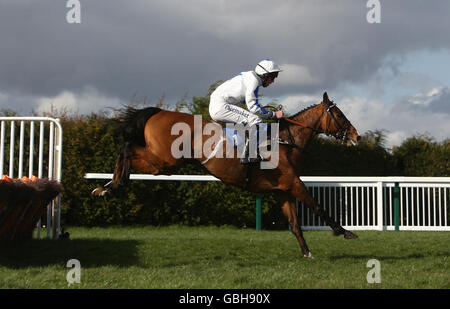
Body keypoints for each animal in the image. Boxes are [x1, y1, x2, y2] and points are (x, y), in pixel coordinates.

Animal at [93, 91, 360, 258]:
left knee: (127, 150)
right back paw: (114, 184)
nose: (356, 136)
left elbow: (295, 224)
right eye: (339, 115)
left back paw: (107, 186)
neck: (285, 140)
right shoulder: (294, 183)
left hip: (163, 164)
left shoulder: (282, 191)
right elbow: (318, 207)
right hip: (164, 160)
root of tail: (159, 112)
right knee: (127, 147)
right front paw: (345, 232)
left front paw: (307, 252)